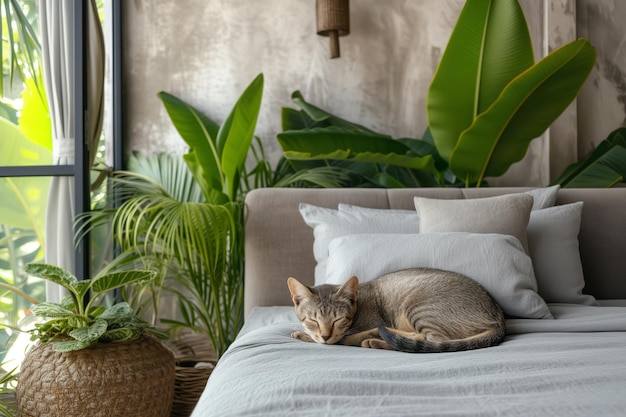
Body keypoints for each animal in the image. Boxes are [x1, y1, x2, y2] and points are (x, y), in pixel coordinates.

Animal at [286, 268, 504, 352]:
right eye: (312, 320)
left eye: (338, 320)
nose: (325, 335)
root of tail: (498, 316)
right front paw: (303, 334)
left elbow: (338, 339)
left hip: (419, 305)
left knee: (432, 341)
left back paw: (372, 339)